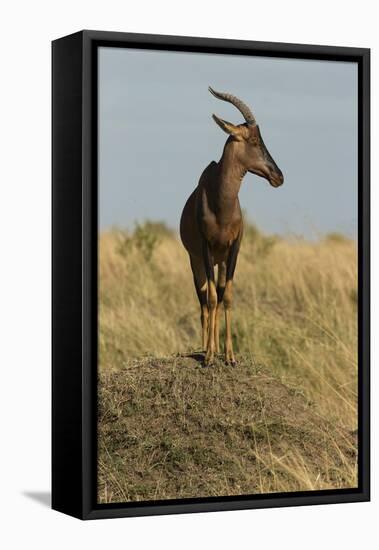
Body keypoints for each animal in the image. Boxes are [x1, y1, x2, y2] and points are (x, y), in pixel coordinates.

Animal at [181, 87, 284, 366]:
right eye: (255, 141)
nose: (278, 176)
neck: (220, 202)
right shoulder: (206, 249)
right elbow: (212, 299)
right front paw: (208, 356)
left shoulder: (234, 249)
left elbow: (226, 296)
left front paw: (230, 355)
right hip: (197, 262)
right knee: (204, 301)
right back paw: (205, 348)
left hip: (221, 260)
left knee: (216, 294)